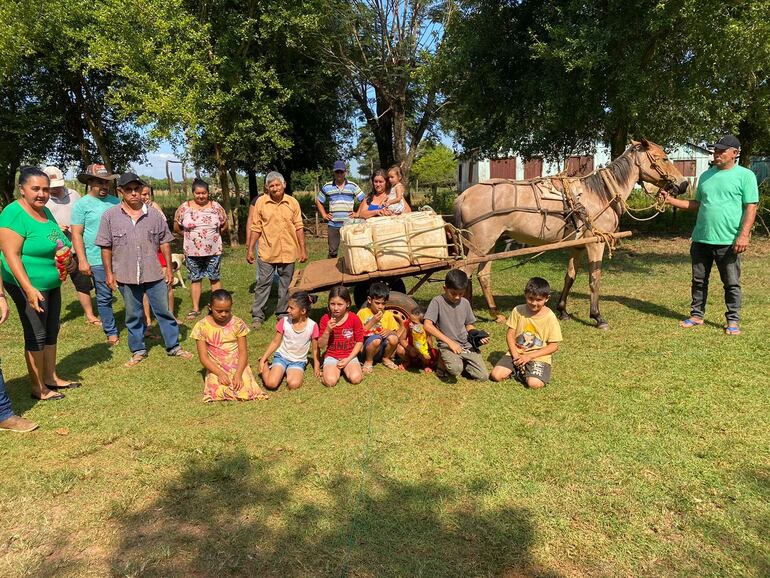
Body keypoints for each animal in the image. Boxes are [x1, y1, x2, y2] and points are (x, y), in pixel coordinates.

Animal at [452, 138, 688, 328]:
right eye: (663, 158)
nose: (684, 184)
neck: (601, 194)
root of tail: (464, 195)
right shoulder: (596, 243)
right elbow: (594, 278)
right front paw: (597, 316)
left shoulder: (577, 245)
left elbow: (570, 276)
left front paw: (563, 310)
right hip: (480, 245)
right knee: (463, 272)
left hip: (488, 246)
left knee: (483, 275)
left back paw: (495, 314)